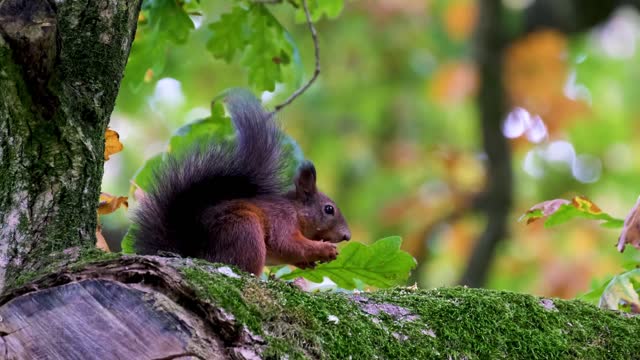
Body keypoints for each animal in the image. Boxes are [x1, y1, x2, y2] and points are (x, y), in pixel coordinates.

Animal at [131, 90, 350, 276]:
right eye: (329, 209)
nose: (347, 236)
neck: (296, 211)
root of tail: (195, 252)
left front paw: (309, 262)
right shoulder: (282, 219)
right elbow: (286, 243)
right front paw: (325, 250)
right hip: (244, 229)